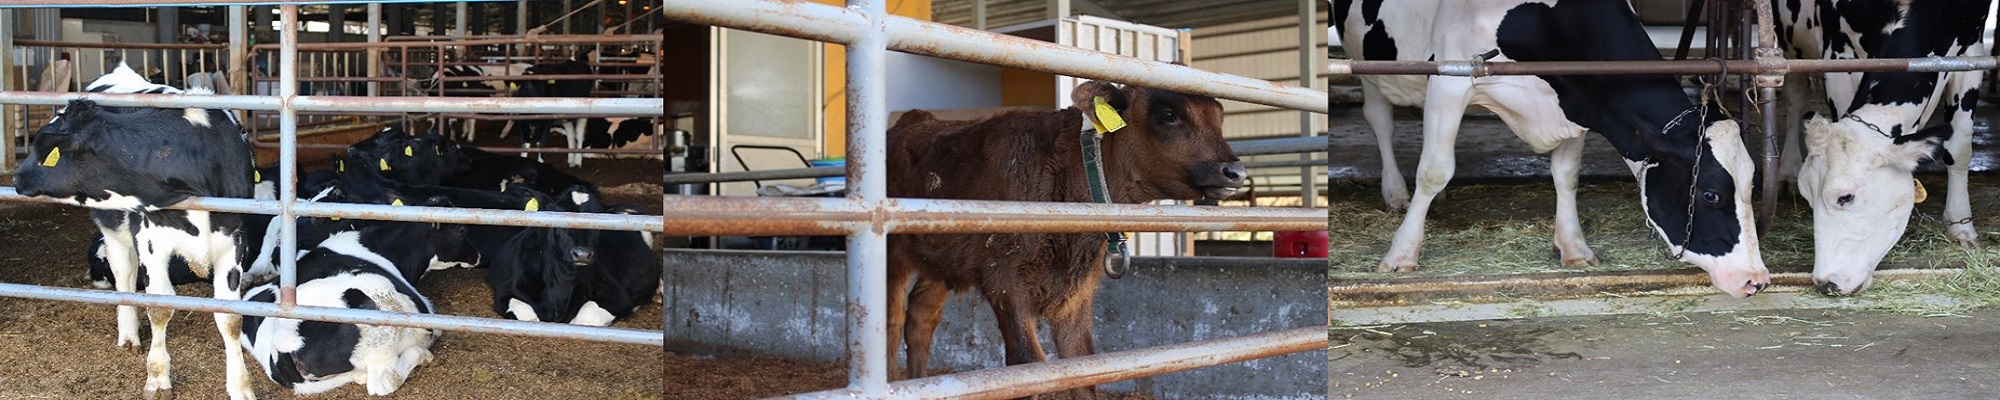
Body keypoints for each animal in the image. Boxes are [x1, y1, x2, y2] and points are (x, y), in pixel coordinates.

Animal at [12, 62, 262, 400]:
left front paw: (240, 386)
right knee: (124, 276)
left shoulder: (234, 241)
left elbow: (230, 318)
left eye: (42, 147)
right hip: (114, 233)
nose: (16, 176)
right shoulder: (150, 238)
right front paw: (157, 378)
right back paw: (129, 332)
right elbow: (159, 307)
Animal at [888, 79, 1240, 398]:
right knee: (892, 322)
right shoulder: (1003, 279)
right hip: (892, 254)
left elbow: (1081, 365)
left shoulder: (1076, 291)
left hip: (942, 260)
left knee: (920, 318)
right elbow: (1027, 365)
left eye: (1219, 116)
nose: (1234, 172)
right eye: (1168, 115)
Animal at [1336, 0, 1776, 296]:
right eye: (1710, 194)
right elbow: (1433, 170)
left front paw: (1574, 247)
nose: (1756, 280)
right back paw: (1396, 192)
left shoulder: (1580, 100)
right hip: (1368, 63)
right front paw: (1401, 254)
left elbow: (1566, 176)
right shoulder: (1450, 80)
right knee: (1380, 119)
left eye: (1752, 187)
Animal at [1776, 0, 1992, 294]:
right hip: (1790, 39)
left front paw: (1962, 226)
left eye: (1845, 197)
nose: (1826, 282)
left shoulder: (1972, 50)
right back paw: (1787, 170)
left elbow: (1959, 147)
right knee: (1795, 95)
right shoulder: (1837, 50)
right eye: (1809, 197)